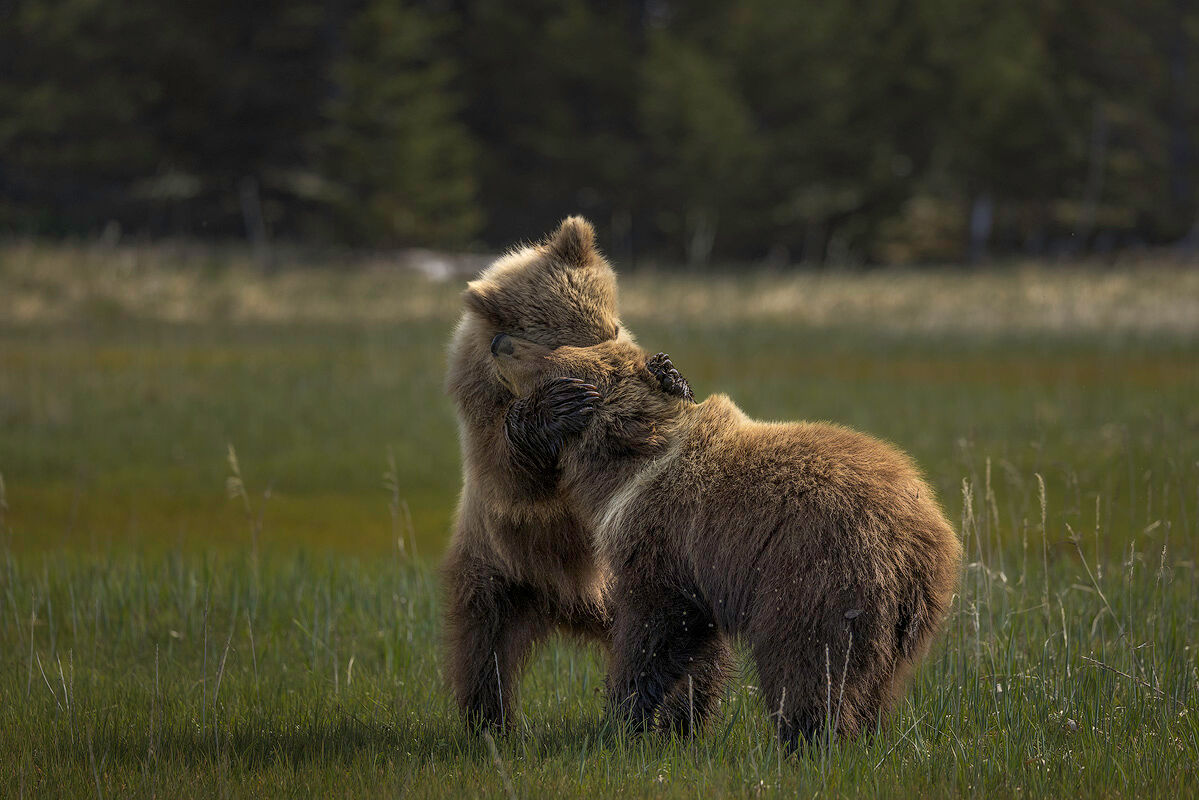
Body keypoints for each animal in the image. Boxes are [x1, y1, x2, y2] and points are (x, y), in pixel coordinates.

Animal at [443, 216, 730, 732]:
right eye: (569, 340)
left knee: (690, 646)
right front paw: (557, 407)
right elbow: (514, 478)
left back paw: (687, 716)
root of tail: (572, 605)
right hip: (500, 568)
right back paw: (488, 721)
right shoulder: (480, 412)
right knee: (482, 644)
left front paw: (669, 374)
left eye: (613, 324)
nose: (625, 357)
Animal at [488, 333, 963, 746]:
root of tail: (920, 535)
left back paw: (807, 740)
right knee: (879, 680)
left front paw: (625, 716)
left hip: (817, 577)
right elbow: (697, 644)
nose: (499, 341)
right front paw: (680, 723)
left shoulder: (666, 545)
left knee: (807, 663)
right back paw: (865, 732)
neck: (626, 472)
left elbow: (654, 632)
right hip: (908, 617)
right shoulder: (699, 571)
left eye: (553, 355)